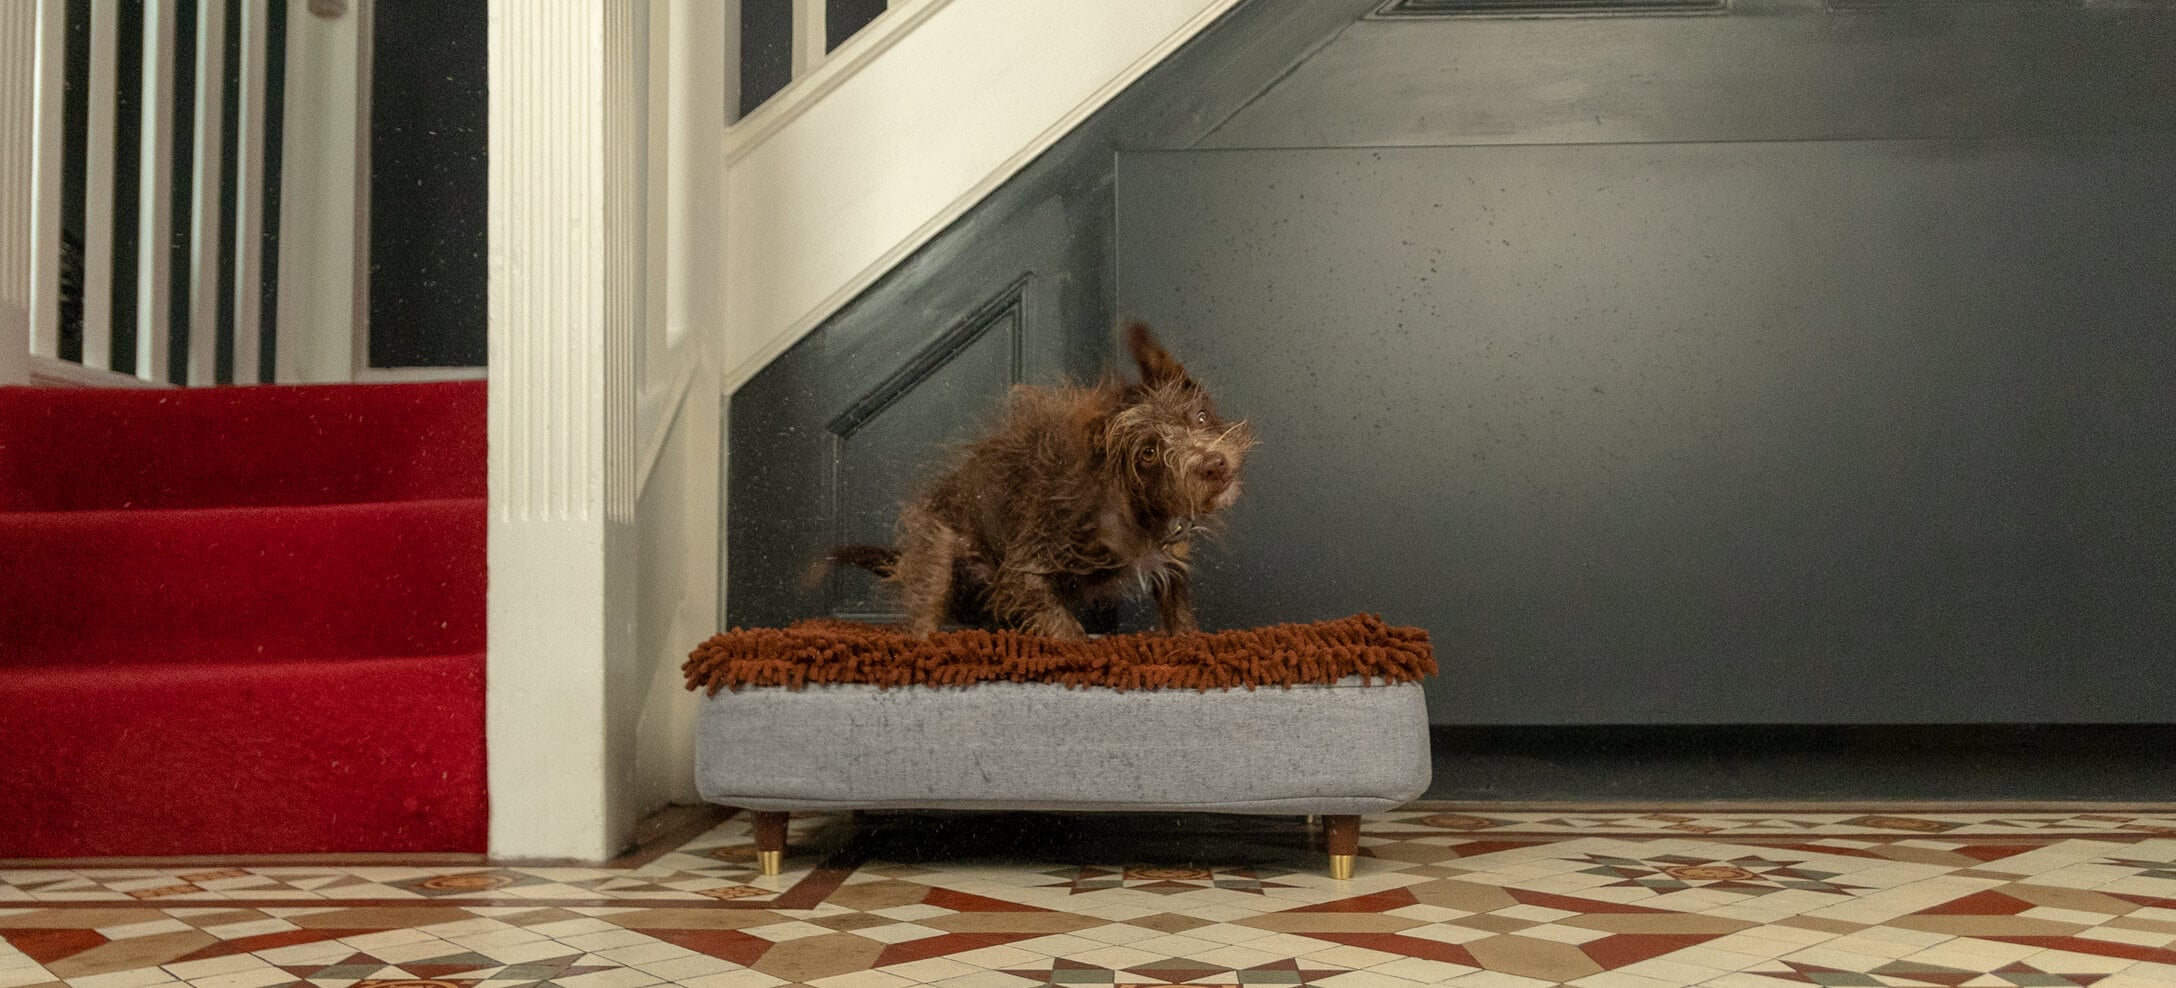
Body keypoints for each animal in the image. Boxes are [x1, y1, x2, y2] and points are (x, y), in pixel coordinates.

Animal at [818, 319, 1262, 635]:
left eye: (1200, 418)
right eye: (1148, 453)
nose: (1215, 464)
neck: (1130, 507)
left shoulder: (1170, 565)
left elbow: (1181, 620)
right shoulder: (1025, 567)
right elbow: (1065, 629)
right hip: (940, 559)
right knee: (926, 615)